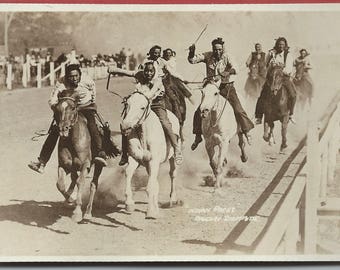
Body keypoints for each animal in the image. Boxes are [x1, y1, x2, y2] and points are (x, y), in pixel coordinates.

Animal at [54, 89, 103, 223]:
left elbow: (80, 182)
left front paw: (77, 212)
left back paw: (87, 213)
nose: (63, 129)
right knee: (73, 179)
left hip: (98, 166)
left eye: (73, 107)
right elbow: (60, 184)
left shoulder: (85, 165)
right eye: (57, 108)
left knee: (93, 185)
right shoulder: (64, 165)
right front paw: (70, 199)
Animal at [120, 90, 182, 219]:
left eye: (142, 107)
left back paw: (173, 200)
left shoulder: (154, 162)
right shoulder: (135, 158)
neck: (143, 134)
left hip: (172, 158)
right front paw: (129, 204)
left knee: (173, 174)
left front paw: (151, 212)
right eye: (127, 104)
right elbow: (128, 173)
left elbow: (150, 187)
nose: (125, 126)